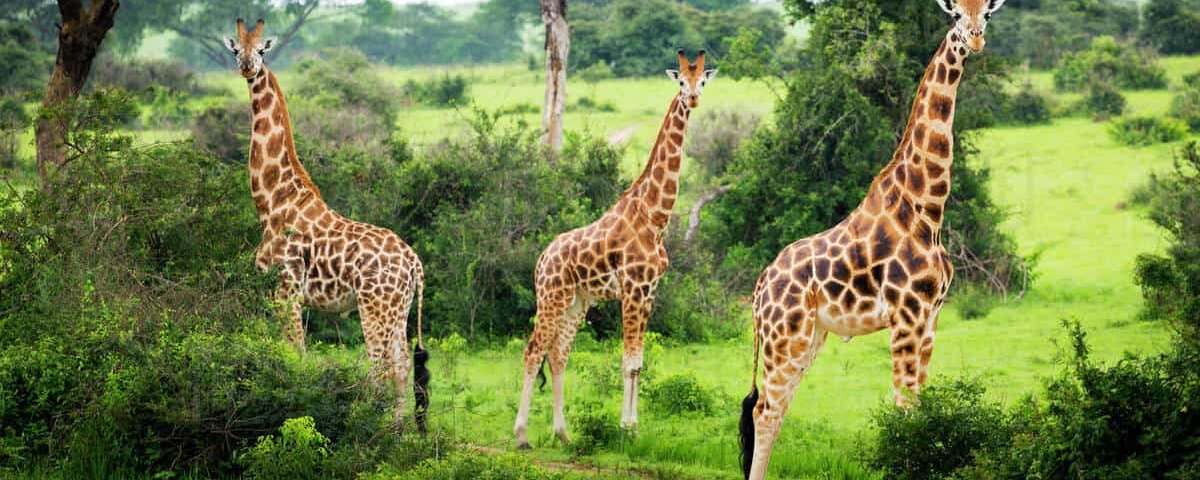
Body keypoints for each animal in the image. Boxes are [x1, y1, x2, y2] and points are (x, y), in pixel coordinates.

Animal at [223, 18, 430, 430]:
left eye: (262, 50)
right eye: (236, 49)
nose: (248, 68)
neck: (273, 202)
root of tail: (414, 263)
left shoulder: (284, 292)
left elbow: (295, 355)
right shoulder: (283, 298)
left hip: (374, 306)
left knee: (381, 365)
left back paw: (374, 429)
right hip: (398, 310)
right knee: (400, 366)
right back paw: (398, 433)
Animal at [513, 50, 717, 449]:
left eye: (702, 80)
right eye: (680, 81)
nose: (693, 99)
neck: (654, 218)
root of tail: (541, 260)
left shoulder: (650, 292)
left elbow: (639, 362)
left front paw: (634, 427)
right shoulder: (633, 291)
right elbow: (628, 361)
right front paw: (626, 430)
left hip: (576, 303)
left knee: (558, 355)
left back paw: (563, 433)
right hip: (551, 298)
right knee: (533, 351)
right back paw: (522, 435)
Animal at [737, 1, 1008, 478]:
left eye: (986, 14)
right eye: (956, 14)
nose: (975, 39)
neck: (926, 208)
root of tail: (759, 288)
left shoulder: (931, 318)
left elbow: (920, 405)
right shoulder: (906, 315)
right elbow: (903, 406)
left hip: (810, 335)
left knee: (778, 406)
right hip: (784, 334)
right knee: (764, 410)